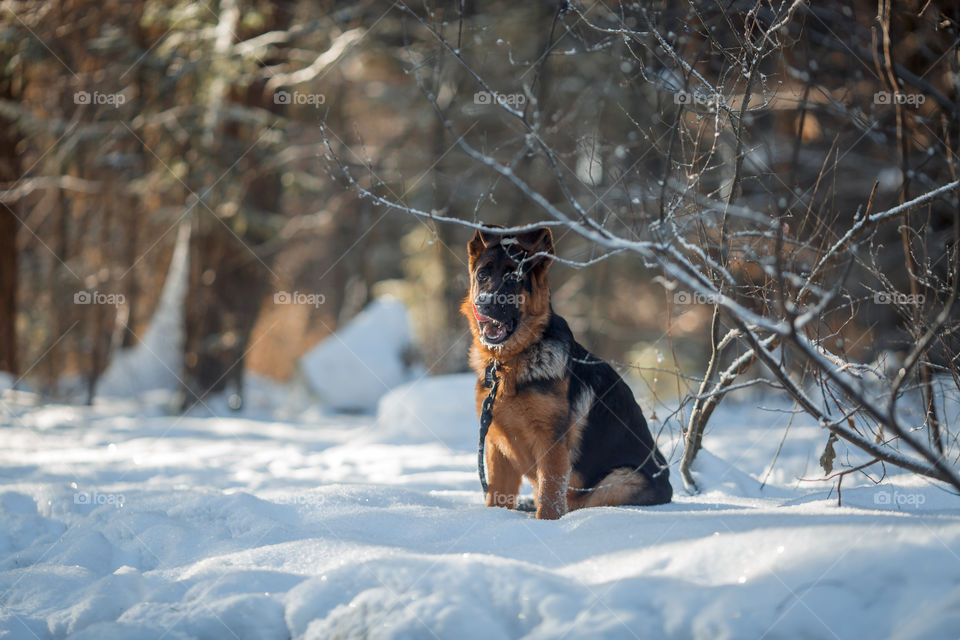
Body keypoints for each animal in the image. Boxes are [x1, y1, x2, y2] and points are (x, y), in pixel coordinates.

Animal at [462, 228, 672, 516]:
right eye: (482, 275)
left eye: (514, 277)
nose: (483, 305)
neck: (509, 363)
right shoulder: (497, 448)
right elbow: (496, 498)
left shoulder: (551, 445)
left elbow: (550, 499)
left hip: (620, 479)